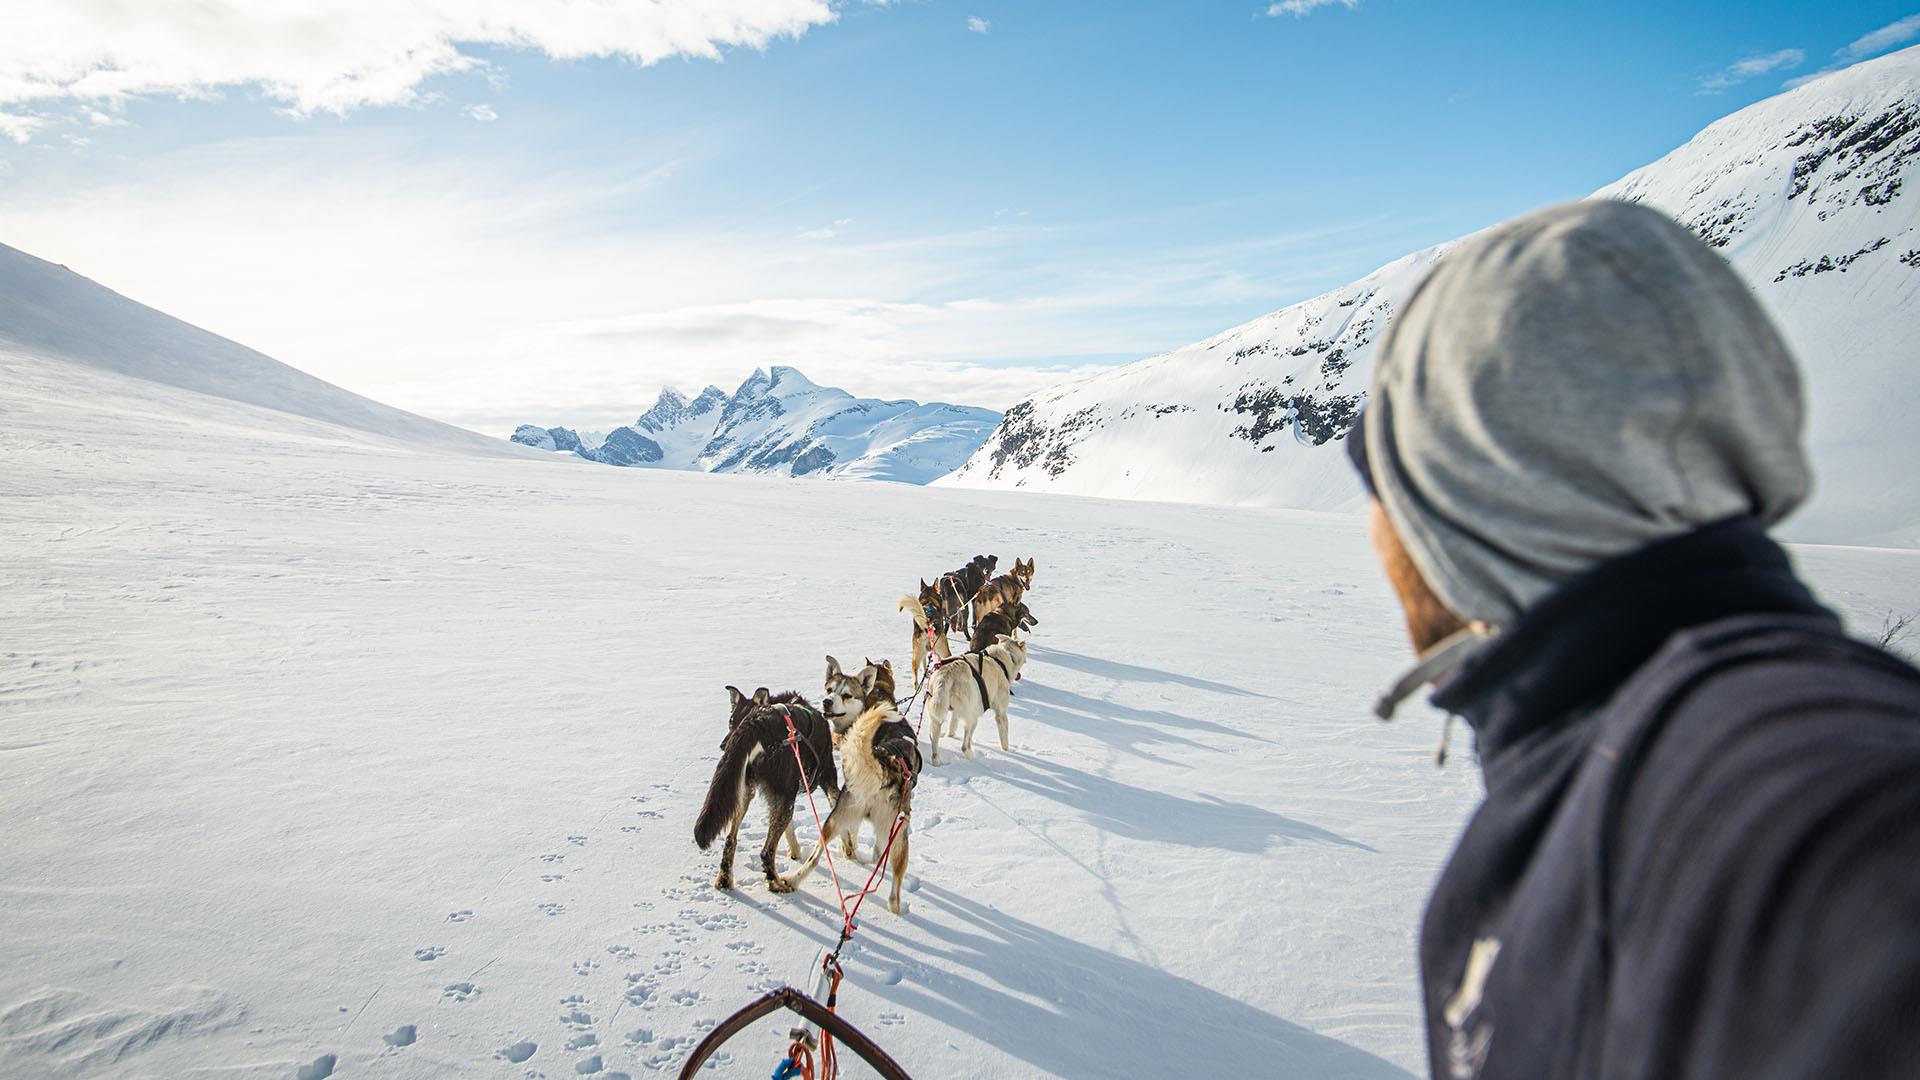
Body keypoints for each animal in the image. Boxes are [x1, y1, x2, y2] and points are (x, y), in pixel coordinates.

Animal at [695, 684, 837, 887]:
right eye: (731, 723)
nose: (723, 745)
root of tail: (757, 722)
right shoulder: (826, 777)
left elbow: (789, 829)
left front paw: (795, 852)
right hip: (784, 795)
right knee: (766, 853)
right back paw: (778, 884)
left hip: (744, 794)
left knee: (731, 840)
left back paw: (724, 879)